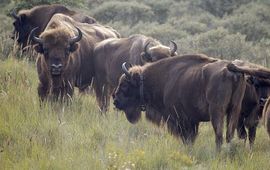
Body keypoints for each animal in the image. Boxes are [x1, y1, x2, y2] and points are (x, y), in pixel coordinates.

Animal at [113, 54, 270, 150]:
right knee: (230, 135)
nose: (115, 101)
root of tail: (232, 71)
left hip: (217, 111)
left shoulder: (181, 120)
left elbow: (187, 138)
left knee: (219, 135)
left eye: (124, 85)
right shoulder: (194, 121)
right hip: (234, 110)